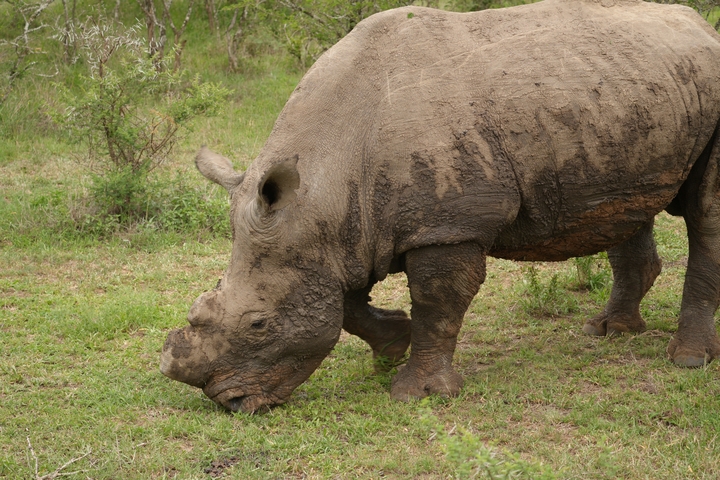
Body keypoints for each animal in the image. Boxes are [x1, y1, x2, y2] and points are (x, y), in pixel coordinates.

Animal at [160, 0, 720, 413]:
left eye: (259, 324)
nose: (231, 403)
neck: (326, 180)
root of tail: (702, 27)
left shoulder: (449, 225)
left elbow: (437, 300)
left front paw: (417, 394)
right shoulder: (345, 229)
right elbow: (346, 302)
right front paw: (393, 345)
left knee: (705, 216)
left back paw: (687, 361)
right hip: (626, 97)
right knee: (628, 204)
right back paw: (609, 332)